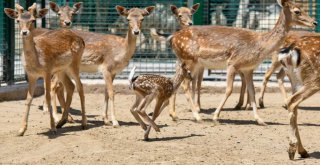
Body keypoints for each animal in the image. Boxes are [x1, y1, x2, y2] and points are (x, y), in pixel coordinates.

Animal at [4, 3, 86, 136]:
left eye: (33, 20)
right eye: (18, 20)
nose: (24, 32)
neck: (36, 61)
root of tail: (81, 39)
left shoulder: (47, 71)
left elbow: (47, 95)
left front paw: (52, 127)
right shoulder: (31, 75)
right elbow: (28, 99)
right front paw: (21, 130)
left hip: (74, 64)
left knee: (80, 86)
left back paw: (83, 123)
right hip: (62, 69)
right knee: (70, 86)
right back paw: (62, 122)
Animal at [169, 0, 316, 125]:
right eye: (297, 11)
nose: (314, 22)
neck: (259, 46)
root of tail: (173, 38)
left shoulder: (248, 69)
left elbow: (252, 91)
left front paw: (260, 120)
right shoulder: (233, 63)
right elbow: (229, 90)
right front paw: (216, 117)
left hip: (188, 62)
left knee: (178, 81)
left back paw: (176, 115)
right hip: (189, 59)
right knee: (185, 84)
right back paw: (197, 117)